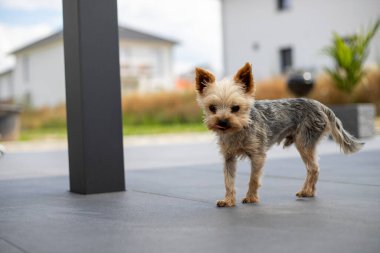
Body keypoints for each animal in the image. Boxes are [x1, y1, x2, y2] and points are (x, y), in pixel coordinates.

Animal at [194, 62, 364, 207]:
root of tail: (320, 105)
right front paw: (228, 200)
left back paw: (306, 191)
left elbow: (253, 178)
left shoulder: (258, 155)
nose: (222, 122)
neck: (240, 128)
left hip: (304, 142)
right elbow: (228, 180)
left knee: (313, 168)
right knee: (312, 168)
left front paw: (251, 197)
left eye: (235, 108)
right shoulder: (228, 158)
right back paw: (309, 192)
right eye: (212, 108)